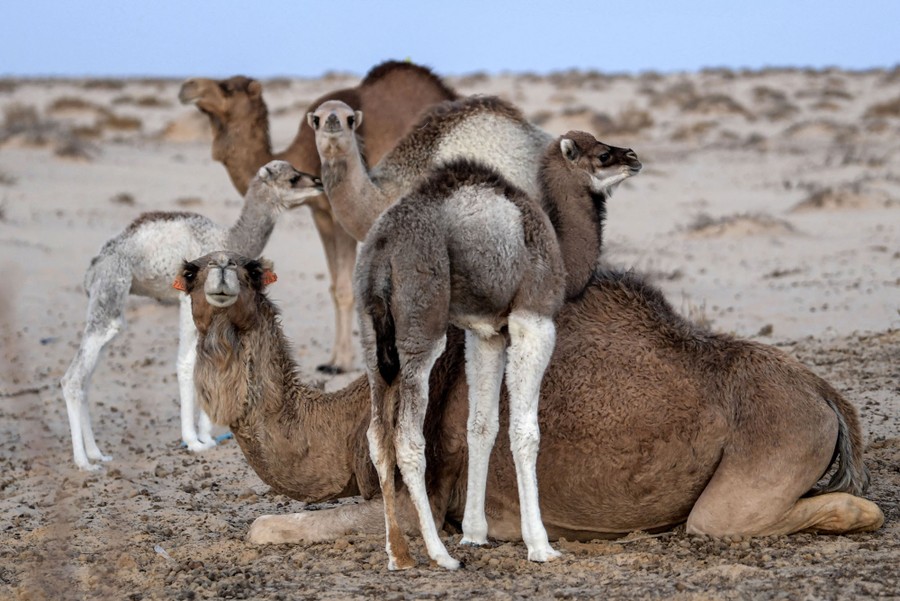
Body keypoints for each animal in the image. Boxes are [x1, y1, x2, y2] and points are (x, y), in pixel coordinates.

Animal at [61, 161, 322, 470]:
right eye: (292, 178)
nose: (318, 182)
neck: (228, 241)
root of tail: (93, 268)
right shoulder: (189, 300)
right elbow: (187, 363)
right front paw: (194, 441)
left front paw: (207, 437)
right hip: (111, 290)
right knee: (74, 378)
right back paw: (84, 462)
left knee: (86, 380)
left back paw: (97, 454)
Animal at [177, 251, 883, 567]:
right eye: (190, 276)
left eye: (246, 274)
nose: (220, 284)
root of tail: (825, 393)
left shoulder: (423, 496)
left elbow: (264, 527)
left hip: (772, 442)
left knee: (724, 519)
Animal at [179, 61, 457, 373]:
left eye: (226, 87)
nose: (187, 86)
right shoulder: (320, 216)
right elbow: (334, 286)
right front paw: (333, 359)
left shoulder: (340, 218)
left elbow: (346, 289)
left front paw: (343, 363)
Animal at [353, 132, 641, 569]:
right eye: (603, 154)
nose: (634, 157)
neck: (559, 253)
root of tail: (383, 250)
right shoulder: (534, 320)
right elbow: (526, 432)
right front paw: (540, 545)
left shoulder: (485, 332)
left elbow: (481, 425)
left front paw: (475, 534)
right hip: (421, 330)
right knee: (408, 439)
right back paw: (439, 554)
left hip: (373, 340)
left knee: (376, 436)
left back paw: (399, 555)